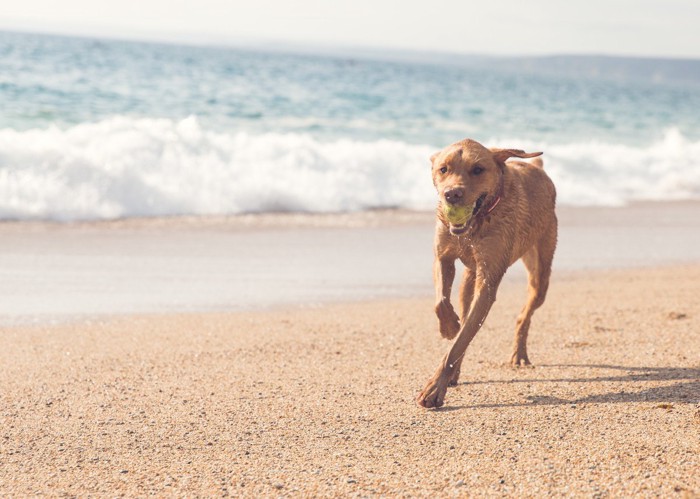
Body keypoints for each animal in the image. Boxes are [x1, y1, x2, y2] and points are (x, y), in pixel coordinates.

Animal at [416, 139, 556, 408]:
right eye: (443, 169)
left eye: (478, 169)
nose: (452, 194)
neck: (477, 223)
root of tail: (537, 168)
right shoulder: (443, 257)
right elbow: (441, 304)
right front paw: (449, 326)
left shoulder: (488, 282)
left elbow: (460, 342)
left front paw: (434, 389)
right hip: (469, 279)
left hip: (541, 272)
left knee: (525, 314)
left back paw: (519, 353)